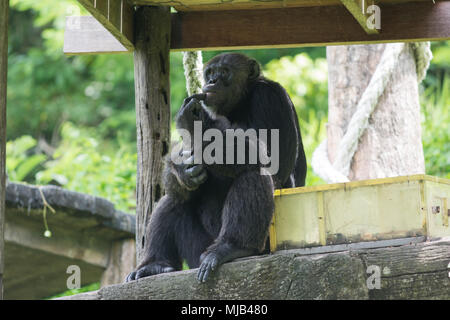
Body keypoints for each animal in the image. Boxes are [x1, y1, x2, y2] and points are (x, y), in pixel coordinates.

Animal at [125, 52, 306, 282]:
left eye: (224, 72)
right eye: (210, 73)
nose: (212, 81)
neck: (239, 103)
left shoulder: (269, 98)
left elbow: (266, 153)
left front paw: (195, 120)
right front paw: (183, 169)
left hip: (264, 245)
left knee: (254, 173)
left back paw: (232, 247)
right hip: (196, 252)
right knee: (175, 198)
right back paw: (154, 265)